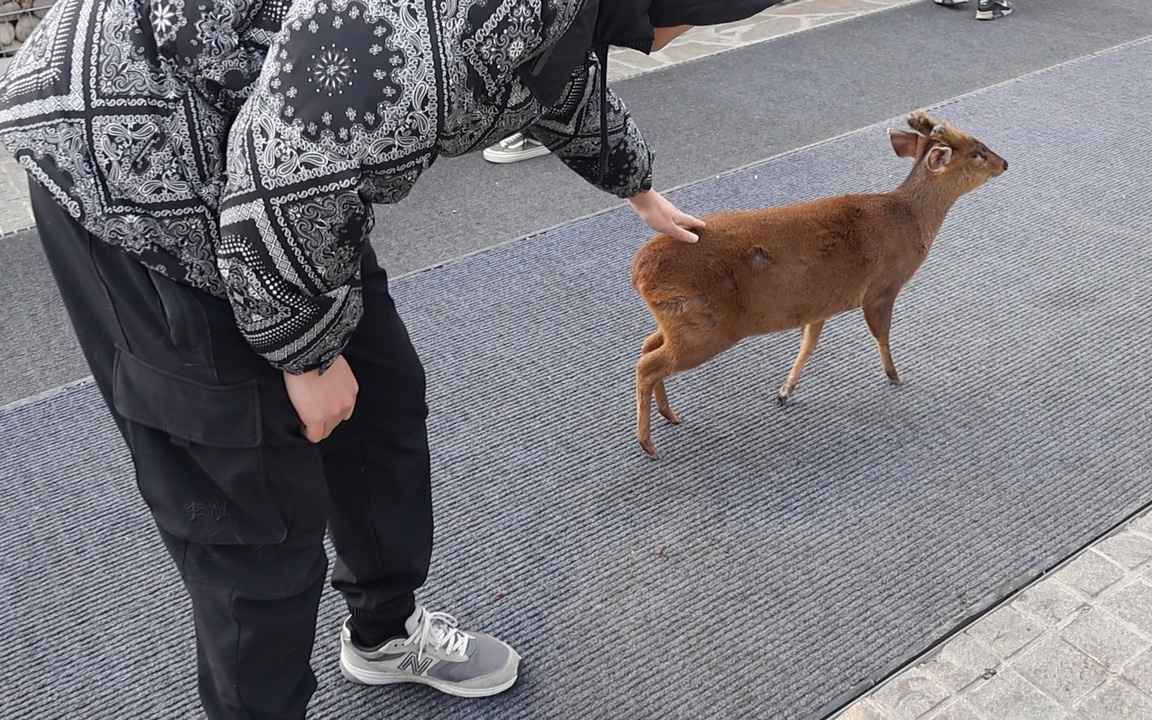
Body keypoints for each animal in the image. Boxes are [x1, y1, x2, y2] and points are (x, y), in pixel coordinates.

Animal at [635, 109, 1004, 458]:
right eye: (976, 152)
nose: (1004, 162)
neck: (909, 220)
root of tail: (638, 273)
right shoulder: (882, 288)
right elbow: (881, 335)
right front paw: (895, 375)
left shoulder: (819, 304)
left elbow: (808, 346)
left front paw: (784, 392)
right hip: (707, 326)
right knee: (648, 365)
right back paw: (649, 444)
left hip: (681, 320)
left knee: (647, 345)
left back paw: (669, 415)